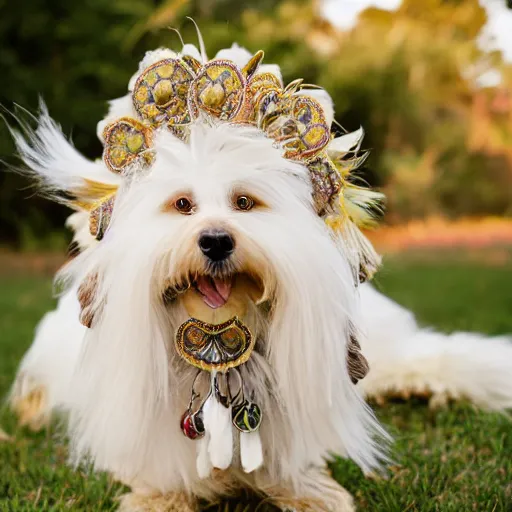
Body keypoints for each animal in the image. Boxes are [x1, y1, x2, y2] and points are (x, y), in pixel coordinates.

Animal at [7, 42, 512, 510]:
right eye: (182, 204)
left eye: (244, 202)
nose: (216, 240)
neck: (218, 343)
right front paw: (160, 495)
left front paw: (311, 490)